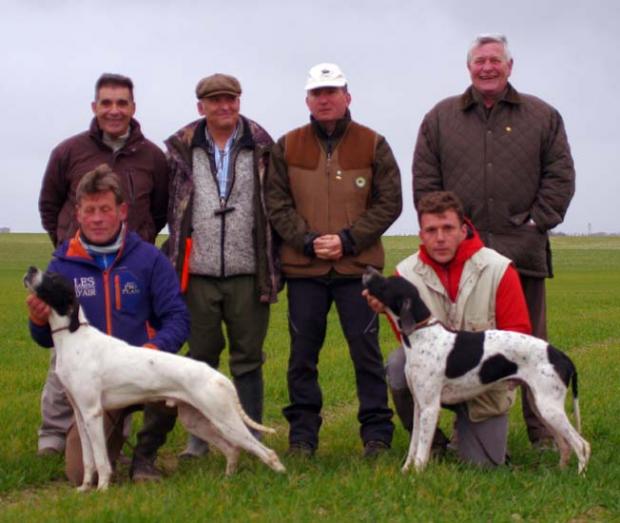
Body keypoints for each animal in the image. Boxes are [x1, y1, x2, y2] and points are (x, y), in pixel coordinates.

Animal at [23, 268, 286, 494]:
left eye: (54, 278)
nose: (31, 269)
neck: (74, 337)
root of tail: (219, 377)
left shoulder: (92, 413)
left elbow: (100, 460)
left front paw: (102, 489)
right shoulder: (80, 415)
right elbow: (88, 461)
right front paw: (85, 488)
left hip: (225, 420)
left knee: (266, 452)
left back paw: (281, 477)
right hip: (197, 421)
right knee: (232, 449)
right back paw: (227, 479)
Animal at [364, 268, 592, 476]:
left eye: (386, 283)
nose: (368, 270)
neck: (423, 334)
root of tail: (561, 355)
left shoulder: (430, 407)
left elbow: (421, 450)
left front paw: (418, 474)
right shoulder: (419, 406)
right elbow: (414, 446)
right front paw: (406, 471)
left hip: (549, 407)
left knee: (581, 445)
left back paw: (579, 477)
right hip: (542, 407)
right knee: (565, 445)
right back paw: (559, 473)